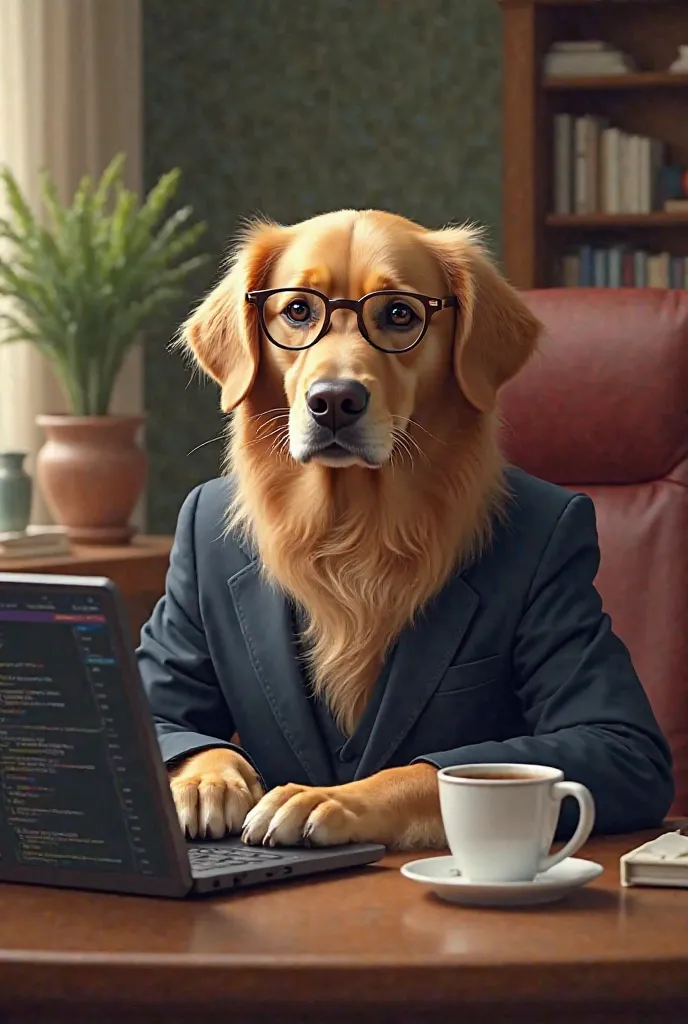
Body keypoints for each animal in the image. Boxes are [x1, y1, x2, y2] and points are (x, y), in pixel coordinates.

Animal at [170, 207, 536, 847]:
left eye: (399, 314)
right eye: (298, 310)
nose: (334, 400)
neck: (352, 524)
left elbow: (417, 771)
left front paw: (322, 797)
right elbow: (178, 727)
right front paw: (207, 780)